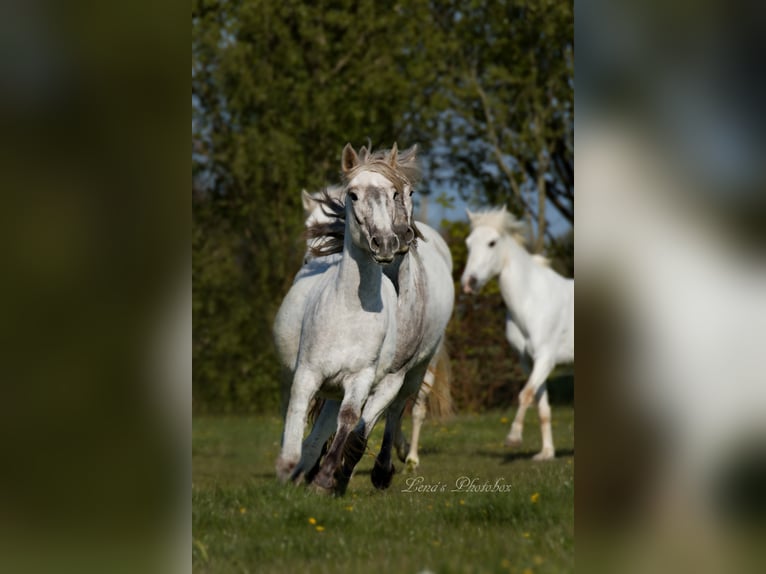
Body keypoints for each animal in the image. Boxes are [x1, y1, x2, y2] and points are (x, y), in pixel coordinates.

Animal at [278, 144, 404, 490]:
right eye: (354, 195)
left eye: (394, 193)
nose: (384, 244)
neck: (349, 312)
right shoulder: (307, 373)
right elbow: (296, 411)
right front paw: (287, 468)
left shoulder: (359, 378)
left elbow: (347, 420)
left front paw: (322, 480)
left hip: (342, 389)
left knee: (327, 425)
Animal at [460, 209, 572, 462]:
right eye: (468, 244)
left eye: (492, 243)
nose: (469, 283)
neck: (532, 302)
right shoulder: (528, 362)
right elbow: (541, 406)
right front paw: (546, 454)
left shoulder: (545, 359)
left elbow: (525, 395)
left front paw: (513, 438)